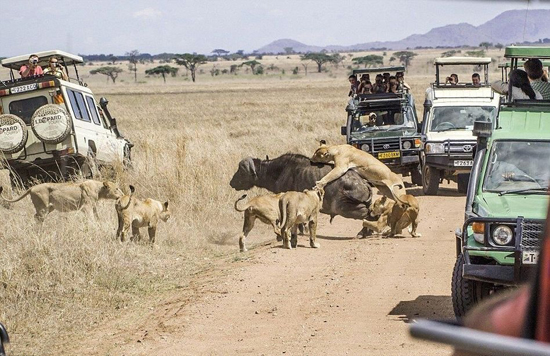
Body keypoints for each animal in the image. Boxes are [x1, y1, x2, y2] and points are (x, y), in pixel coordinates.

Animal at [229, 152, 376, 236]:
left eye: (241, 171)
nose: (231, 183)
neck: (278, 171)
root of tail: (363, 182)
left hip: (347, 208)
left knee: (368, 215)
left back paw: (364, 232)